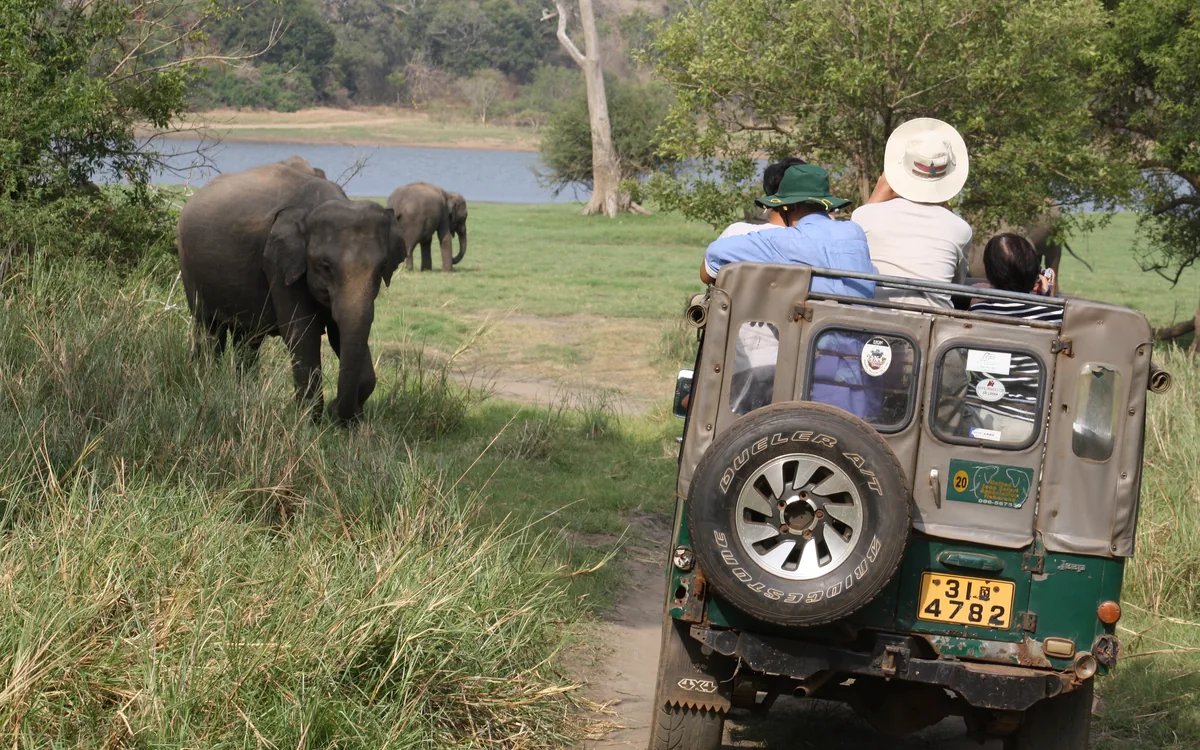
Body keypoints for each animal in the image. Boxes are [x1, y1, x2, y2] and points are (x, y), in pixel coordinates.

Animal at [177, 156, 405, 424]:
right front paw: (310, 422)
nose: (335, 409)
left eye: (382, 267)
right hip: (189, 266)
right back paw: (206, 385)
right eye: (325, 266)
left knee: (248, 339)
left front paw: (347, 420)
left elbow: (340, 331)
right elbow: (302, 332)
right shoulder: (279, 264)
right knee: (209, 329)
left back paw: (244, 394)